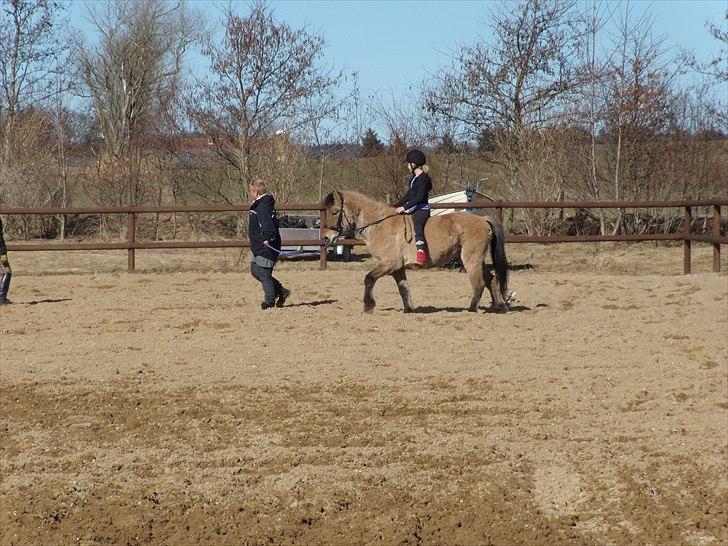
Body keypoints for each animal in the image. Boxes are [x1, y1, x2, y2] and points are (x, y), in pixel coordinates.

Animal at [322, 191, 510, 312]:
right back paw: (499, 307)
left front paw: (368, 305)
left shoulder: (390, 263)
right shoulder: (397, 267)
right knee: (491, 279)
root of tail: (483, 220)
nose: (325, 237)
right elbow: (403, 288)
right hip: (475, 259)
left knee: (478, 283)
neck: (379, 224)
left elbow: (369, 279)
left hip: (471, 259)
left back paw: (471, 309)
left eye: (335, 212)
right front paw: (409, 309)